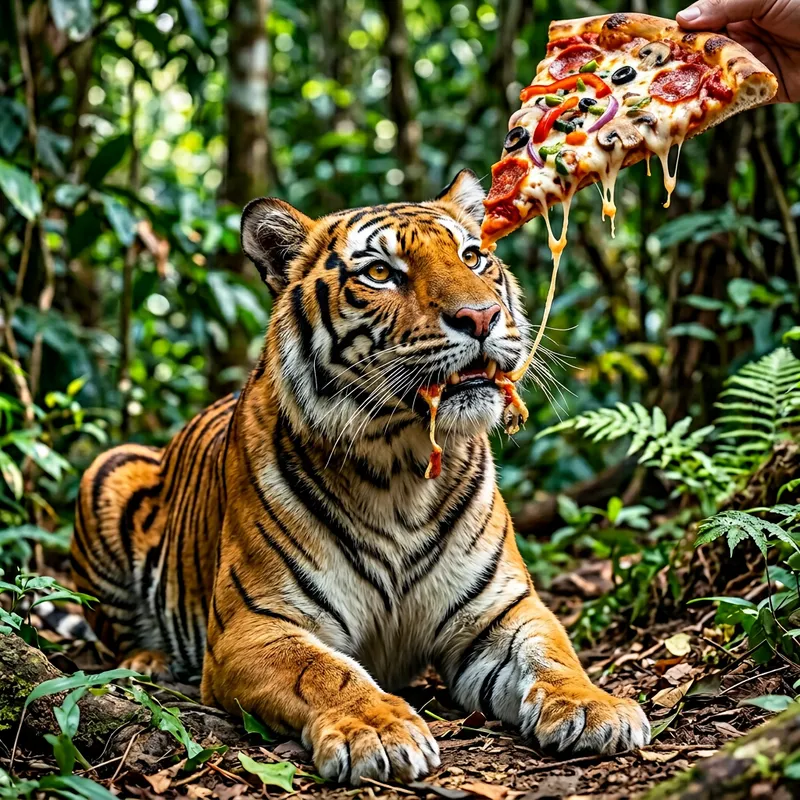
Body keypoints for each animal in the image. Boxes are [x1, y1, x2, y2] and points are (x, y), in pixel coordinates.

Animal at [71, 170, 650, 785]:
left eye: (472, 257)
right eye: (379, 273)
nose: (481, 317)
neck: (401, 468)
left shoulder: (501, 610)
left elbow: (552, 652)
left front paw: (596, 707)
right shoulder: (253, 626)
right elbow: (322, 670)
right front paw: (377, 729)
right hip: (109, 469)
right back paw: (151, 660)